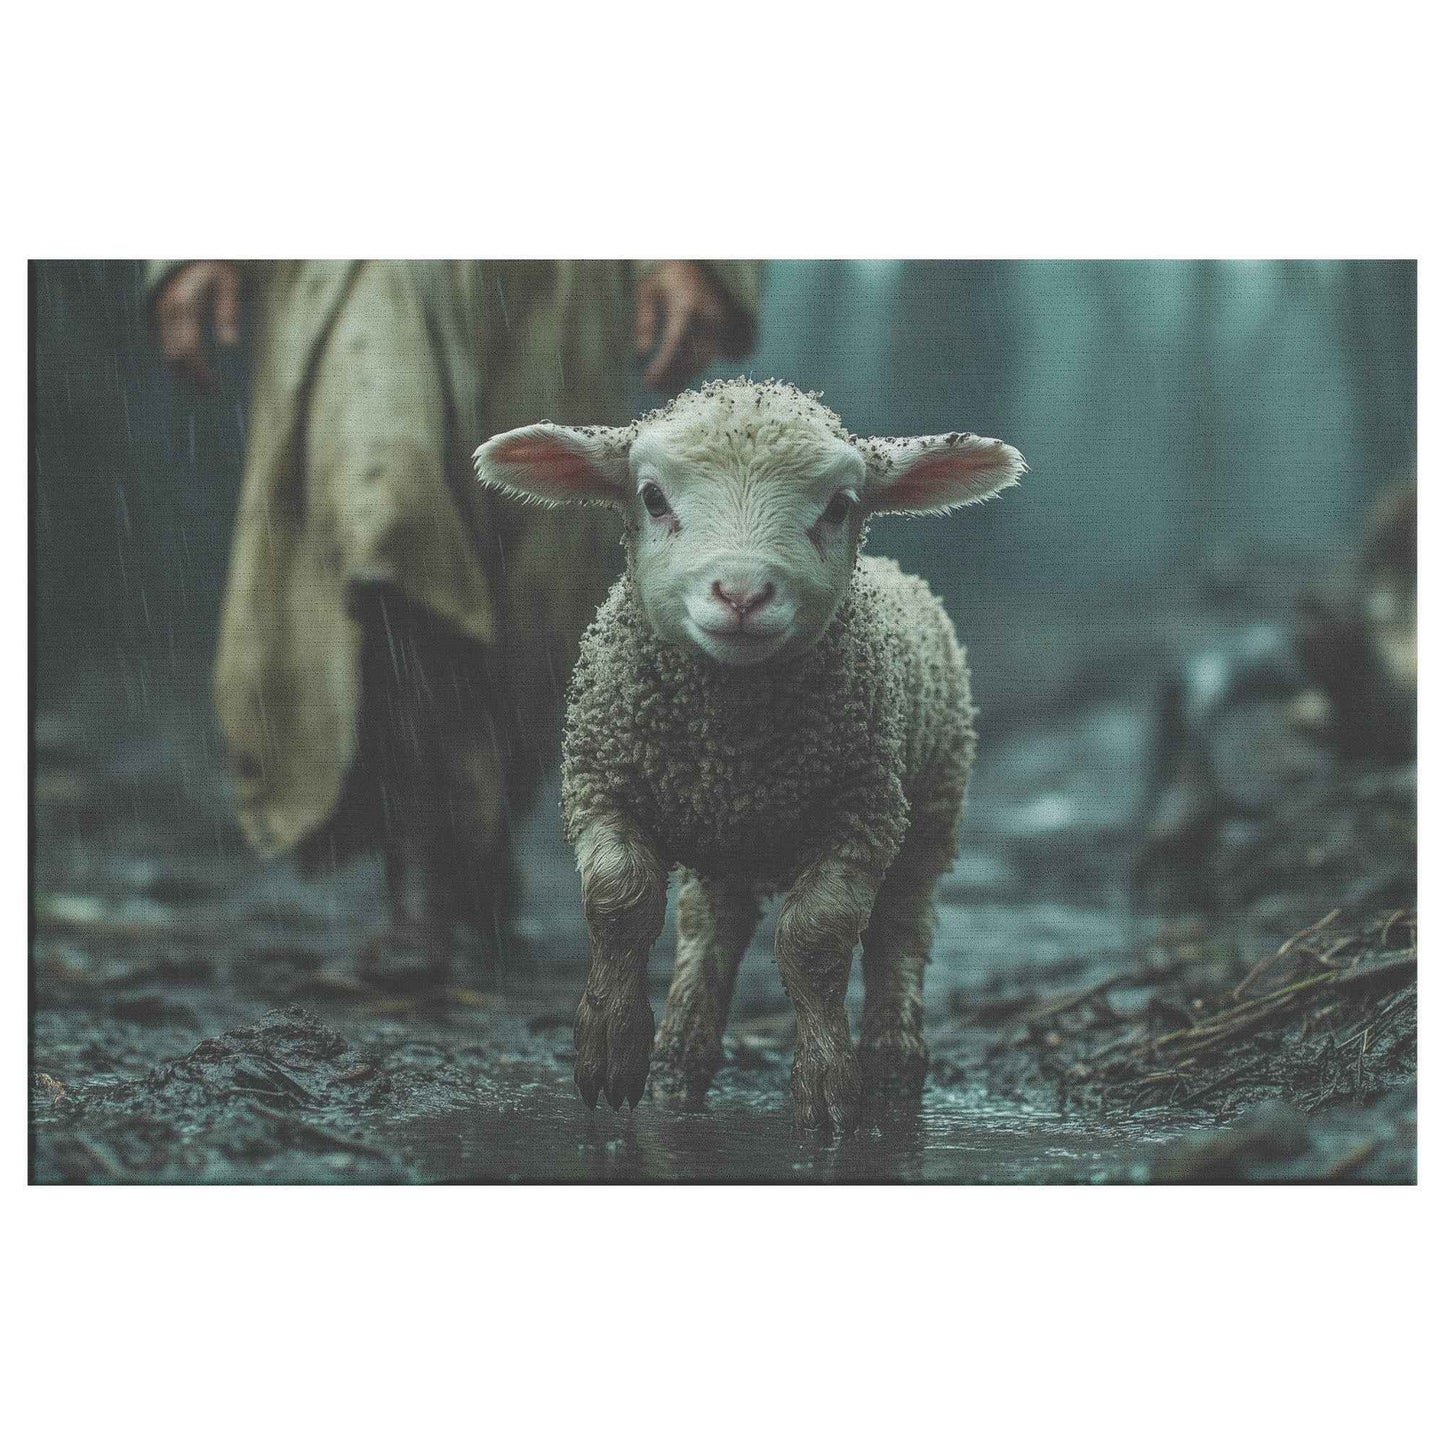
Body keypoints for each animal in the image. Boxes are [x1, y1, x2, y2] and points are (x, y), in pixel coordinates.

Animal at [474, 379, 1025, 1132]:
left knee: (901, 927)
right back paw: (682, 1058)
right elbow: (619, 897)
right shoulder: (599, 780)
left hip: (934, 803)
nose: (740, 594)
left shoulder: (861, 813)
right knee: (713, 928)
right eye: (652, 497)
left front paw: (827, 1084)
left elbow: (815, 939)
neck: (731, 746)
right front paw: (611, 1048)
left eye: (839, 505)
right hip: (725, 851)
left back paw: (892, 1061)